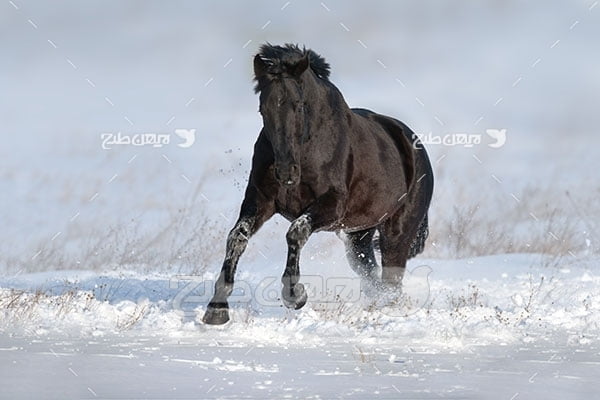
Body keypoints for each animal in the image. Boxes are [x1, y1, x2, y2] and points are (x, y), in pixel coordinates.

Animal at [204, 44, 434, 324]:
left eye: (299, 105)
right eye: (263, 109)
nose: (286, 171)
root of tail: (415, 147)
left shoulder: (332, 205)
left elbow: (296, 231)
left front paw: (295, 295)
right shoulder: (260, 201)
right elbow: (237, 237)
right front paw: (216, 309)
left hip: (396, 234)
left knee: (391, 281)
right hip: (359, 236)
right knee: (370, 275)